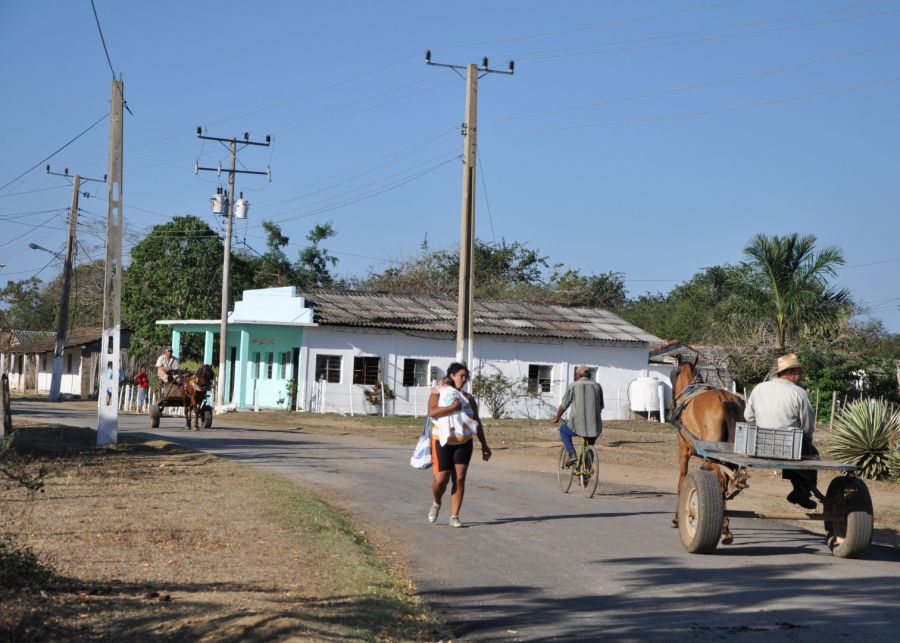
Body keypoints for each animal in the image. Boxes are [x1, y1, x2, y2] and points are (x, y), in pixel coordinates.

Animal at [668, 354, 744, 544]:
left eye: (674, 373)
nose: (671, 402)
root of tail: (724, 397)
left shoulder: (683, 451)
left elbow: (681, 482)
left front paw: (676, 519)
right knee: (726, 481)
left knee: (721, 481)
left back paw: (724, 528)